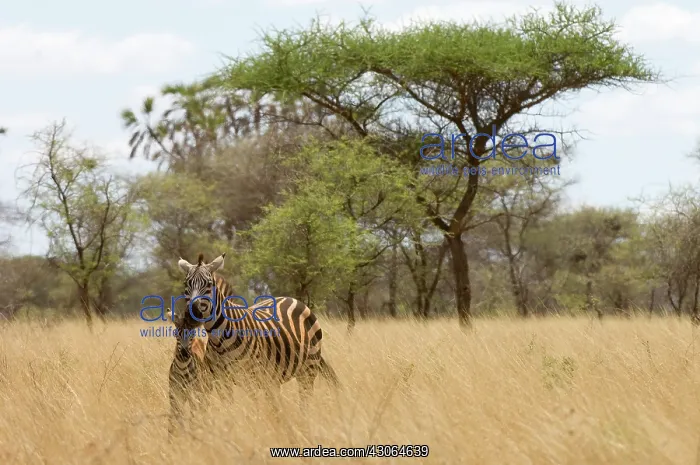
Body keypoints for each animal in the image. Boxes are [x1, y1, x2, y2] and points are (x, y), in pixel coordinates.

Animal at [167, 252, 339, 435]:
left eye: (208, 284)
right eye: (186, 284)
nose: (191, 316)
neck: (220, 340)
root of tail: (292, 299)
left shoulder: (250, 377)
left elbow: (253, 410)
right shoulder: (221, 381)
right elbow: (229, 409)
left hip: (308, 369)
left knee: (304, 401)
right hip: (273, 377)